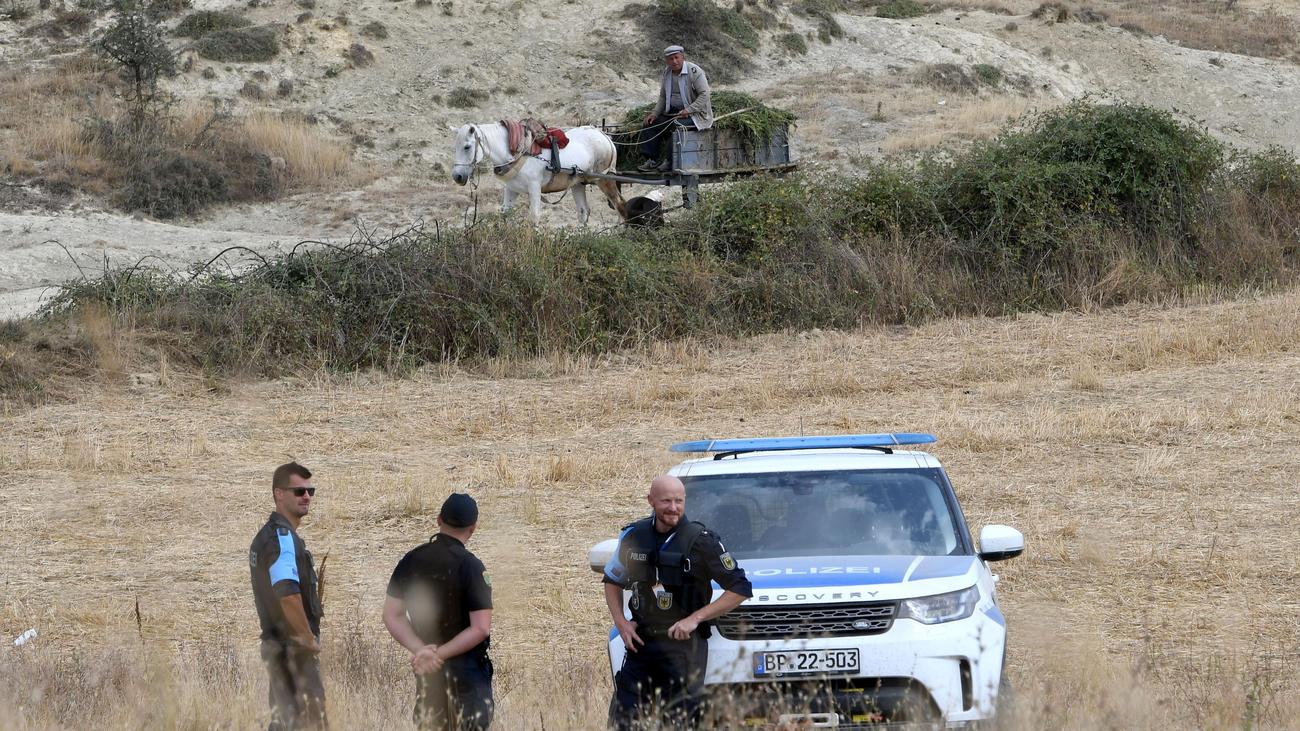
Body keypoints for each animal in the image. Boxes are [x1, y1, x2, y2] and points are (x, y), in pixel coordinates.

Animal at [449, 122, 626, 225]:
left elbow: (534, 217)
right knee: (583, 212)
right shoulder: (511, 189)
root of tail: (603, 135)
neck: (520, 151)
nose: (457, 176)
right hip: (578, 183)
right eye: (454, 147)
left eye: (467, 147)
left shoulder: (534, 188)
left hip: (605, 180)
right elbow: (505, 214)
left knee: (620, 207)